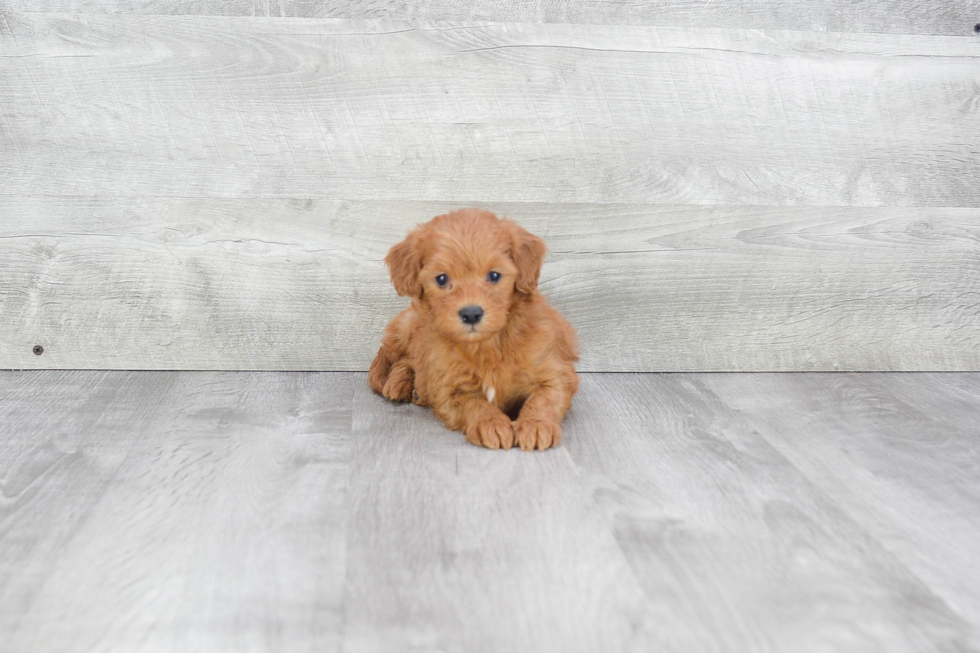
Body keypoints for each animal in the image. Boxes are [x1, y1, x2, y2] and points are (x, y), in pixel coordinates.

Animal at [372, 209, 580, 448]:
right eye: (441, 279)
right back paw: (399, 383)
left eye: (494, 275)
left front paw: (535, 425)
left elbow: (544, 397)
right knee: (402, 358)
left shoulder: (555, 371)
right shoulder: (448, 388)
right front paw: (491, 423)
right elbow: (473, 403)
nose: (471, 313)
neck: (488, 345)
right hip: (408, 328)